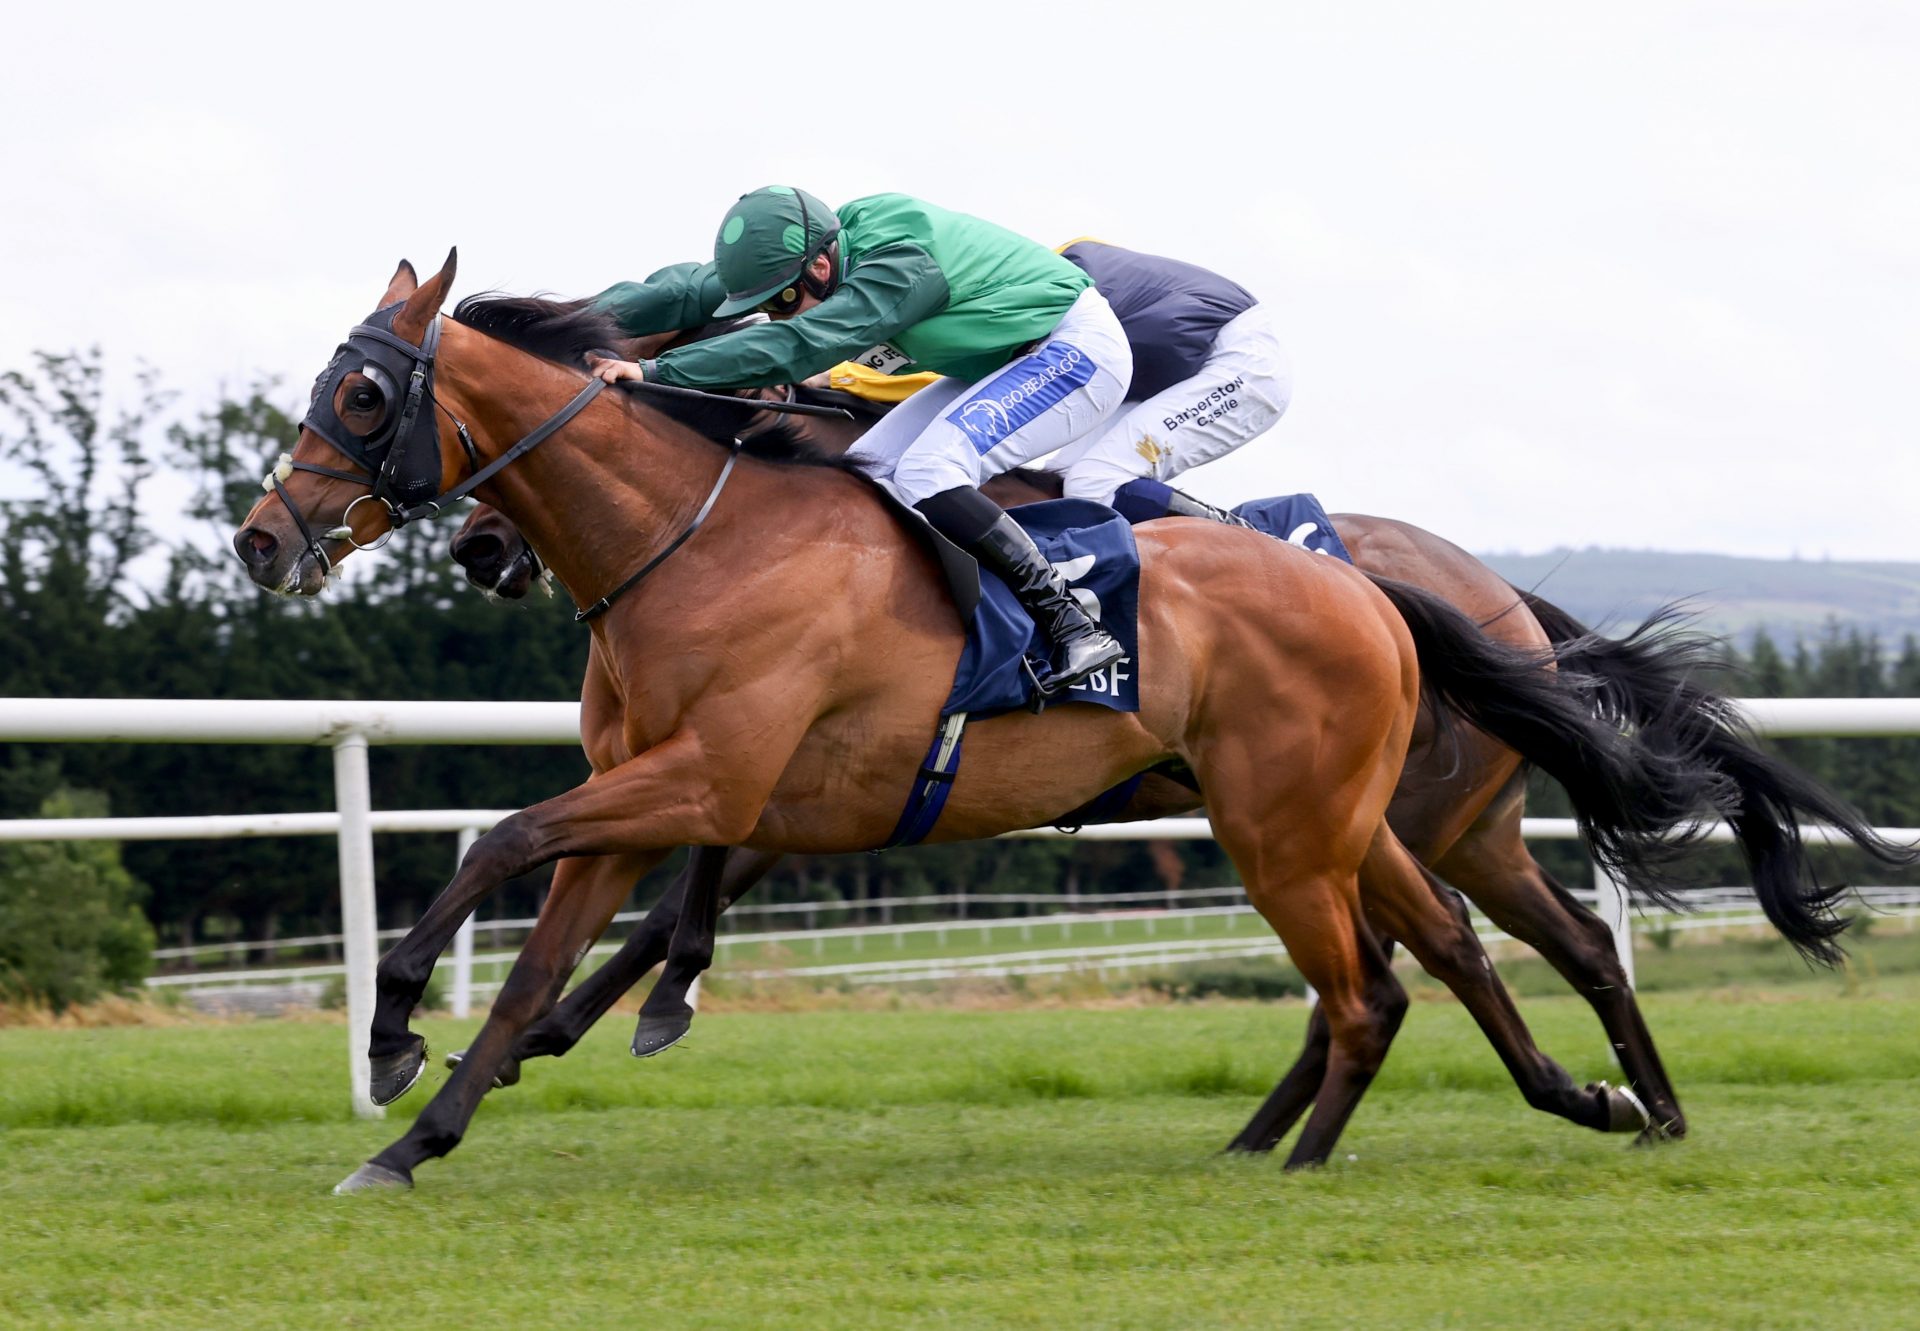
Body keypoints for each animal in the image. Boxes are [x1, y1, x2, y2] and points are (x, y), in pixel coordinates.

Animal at [231, 252, 1853, 1192]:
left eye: (361, 394)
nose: (259, 538)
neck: (700, 532)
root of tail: (1423, 595)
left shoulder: (721, 778)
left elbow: (505, 848)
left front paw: (408, 1031)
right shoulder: (679, 789)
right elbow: (532, 947)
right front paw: (425, 1124)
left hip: (1343, 820)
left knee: (1420, 969)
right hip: (1371, 821)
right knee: (1453, 955)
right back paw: (1580, 1103)